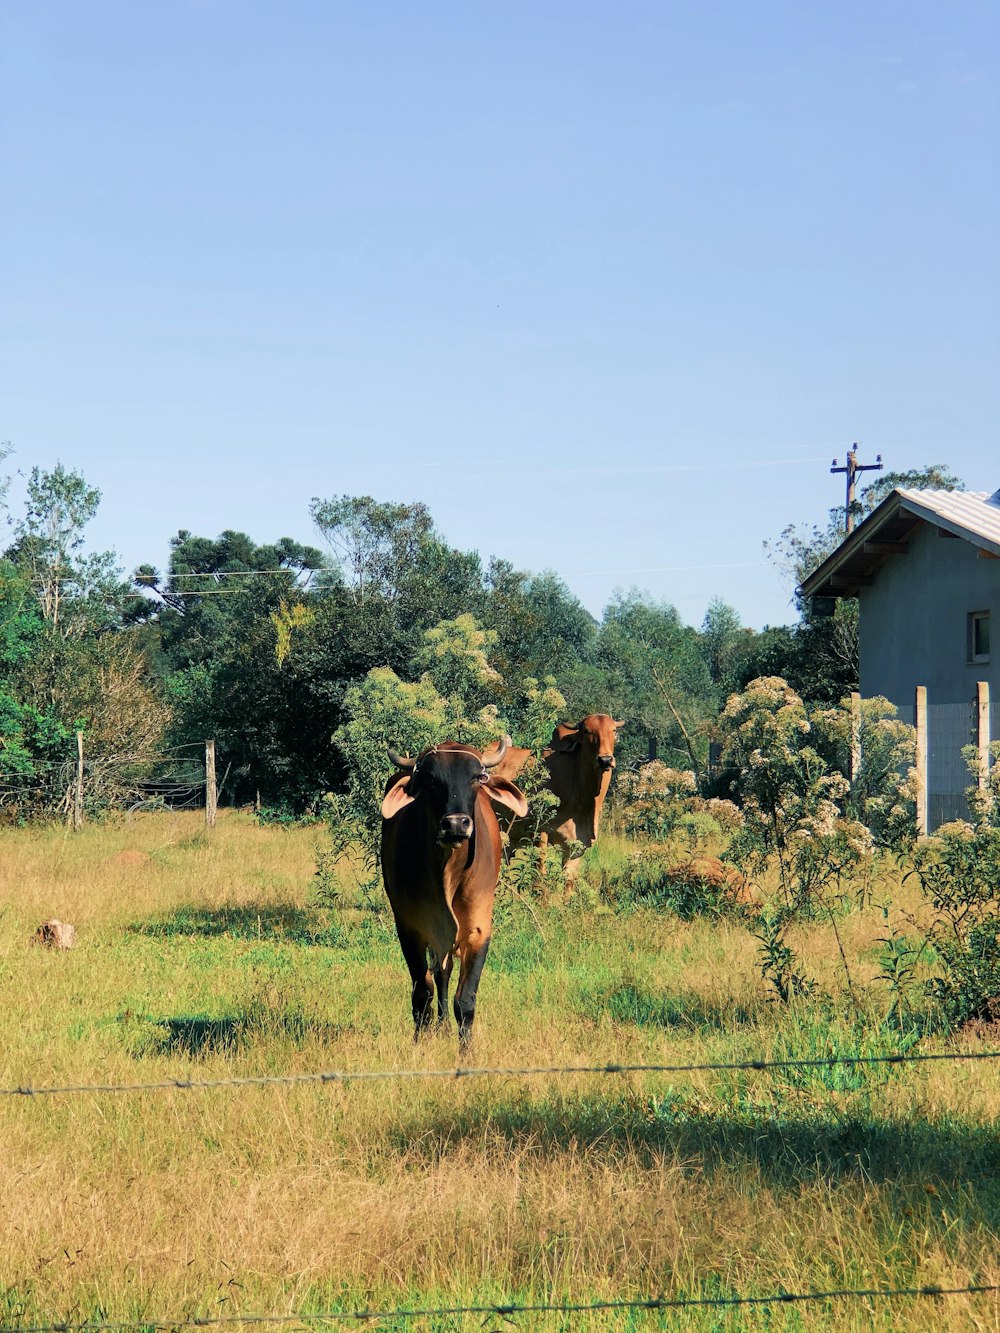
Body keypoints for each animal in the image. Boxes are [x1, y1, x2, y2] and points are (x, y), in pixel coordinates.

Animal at [378, 735, 528, 1045]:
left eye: (478, 777)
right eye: (430, 779)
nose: (456, 823)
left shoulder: (478, 930)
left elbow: (465, 1000)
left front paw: (465, 1050)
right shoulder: (409, 928)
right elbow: (422, 992)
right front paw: (419, 1044)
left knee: (444, 974)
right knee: (437, 976)